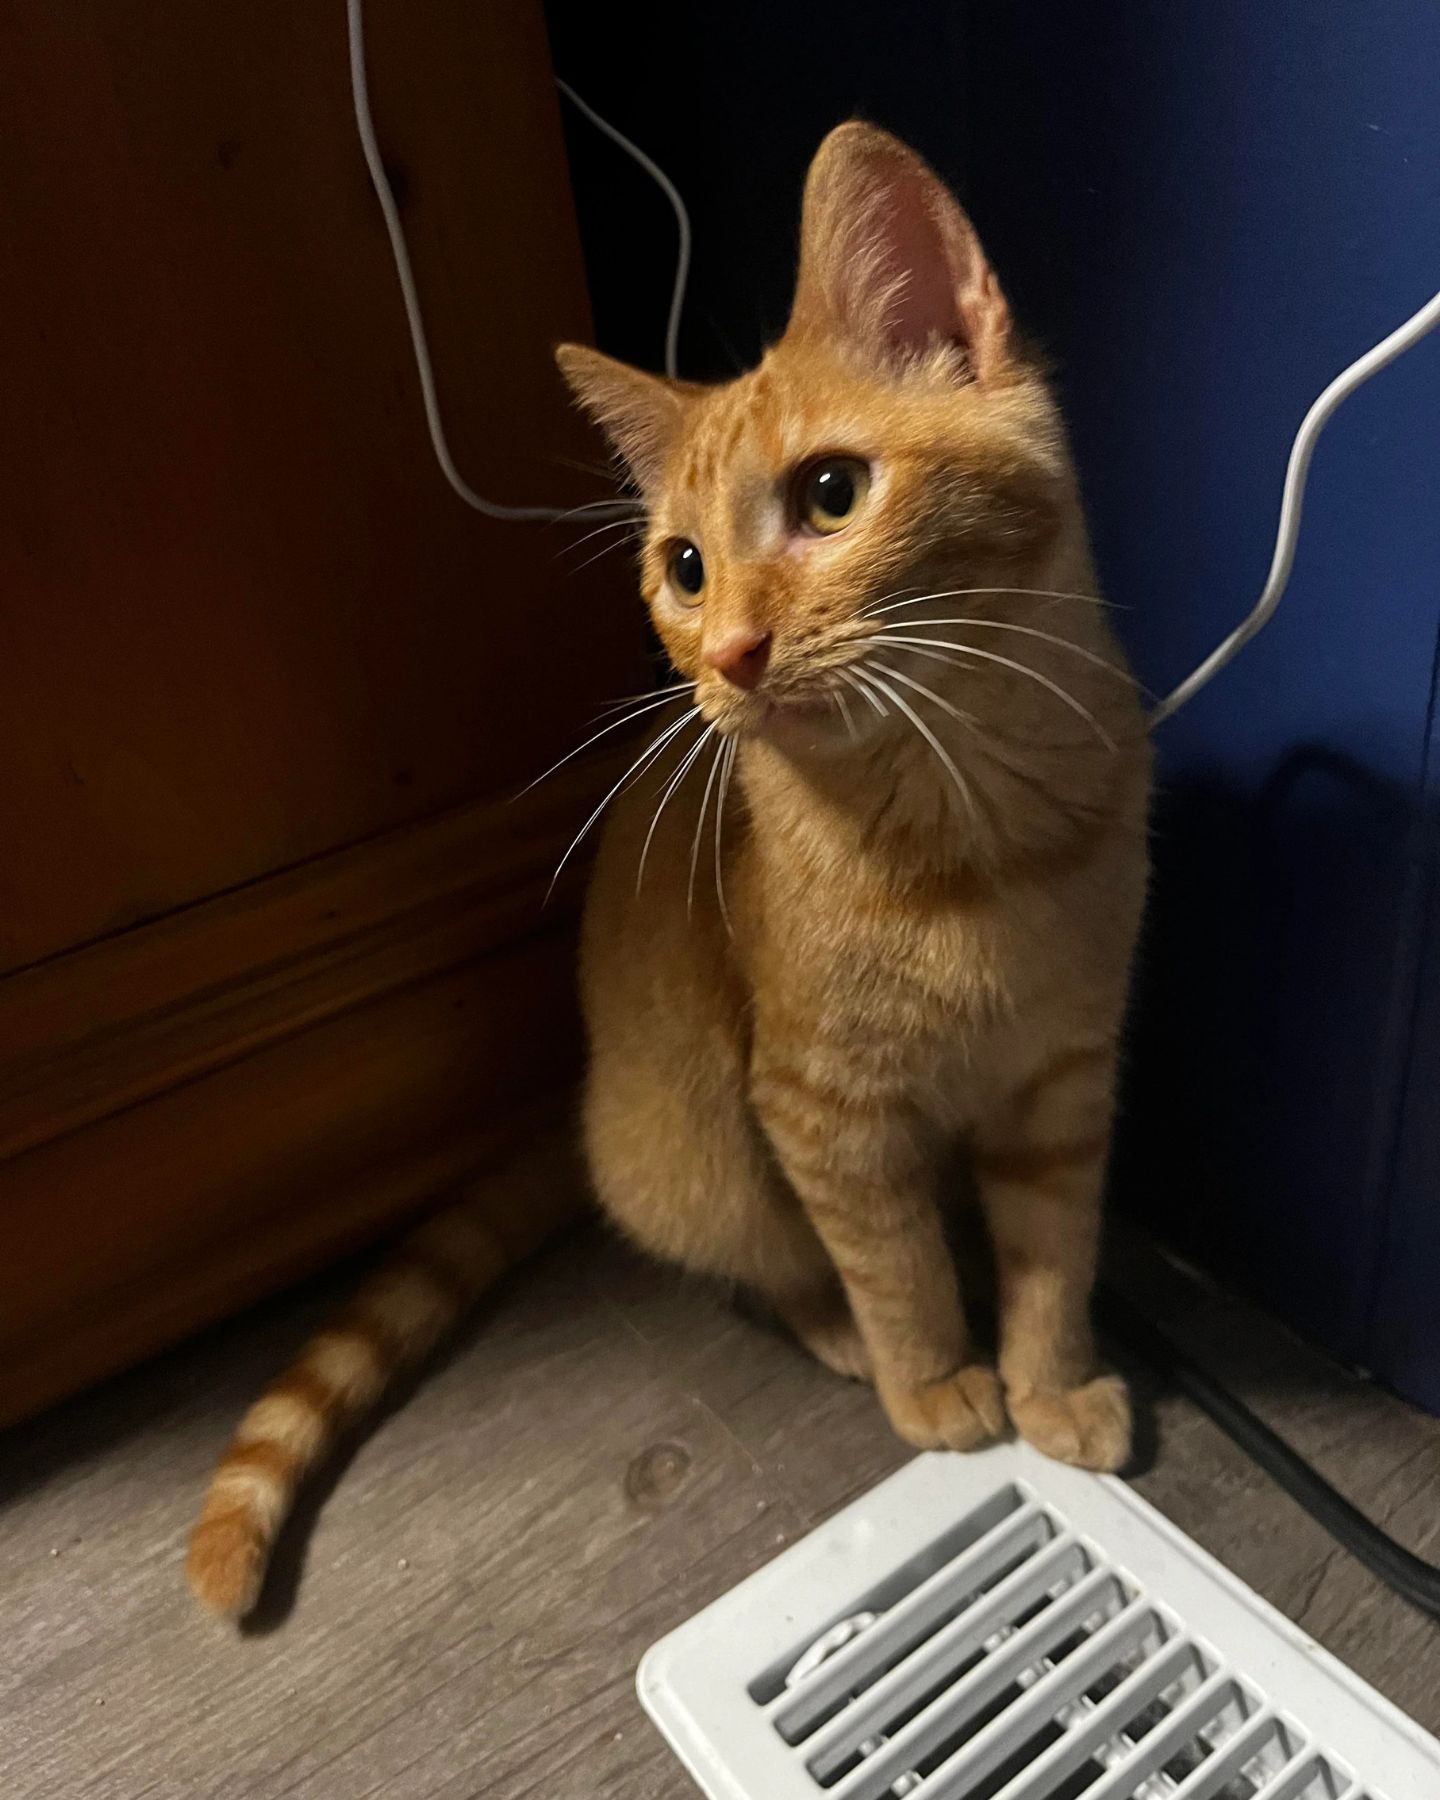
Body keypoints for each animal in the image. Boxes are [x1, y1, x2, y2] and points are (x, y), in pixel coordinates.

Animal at [188, 123, 1144, 1620]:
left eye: (830, 494)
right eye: (683, 567)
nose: (731, 655)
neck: (969, 827)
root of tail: (580, 1104)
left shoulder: (1063, 1081)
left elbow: (1055, 1255)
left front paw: (1052, 1387)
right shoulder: (824, 1116)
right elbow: (897, 1264)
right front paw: (936, 1381)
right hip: (697, 1151)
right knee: (763, 1262)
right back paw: (834, 1332)